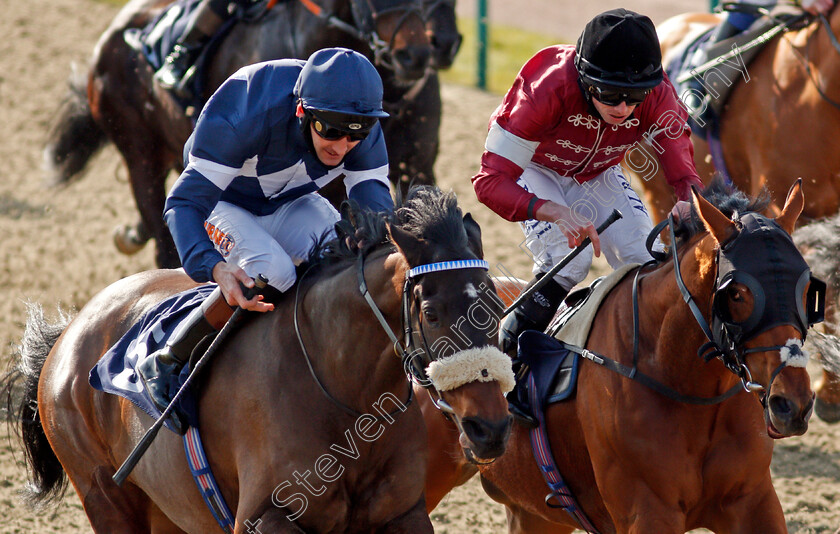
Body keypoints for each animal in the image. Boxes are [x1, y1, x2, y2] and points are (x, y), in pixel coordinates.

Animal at [1, 187, 512, 532]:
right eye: (431, 312)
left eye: (493, 306)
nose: (490, 429)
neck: (343, 397)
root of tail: (70, 330)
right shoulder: (265, 517)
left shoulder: (403, 513)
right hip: (105, 495)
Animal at [420, 182, 820, 532]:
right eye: (736, 293)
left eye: (806, 288)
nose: (793, 403)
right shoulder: (648, 512)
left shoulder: (752, 503)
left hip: (535, 514)